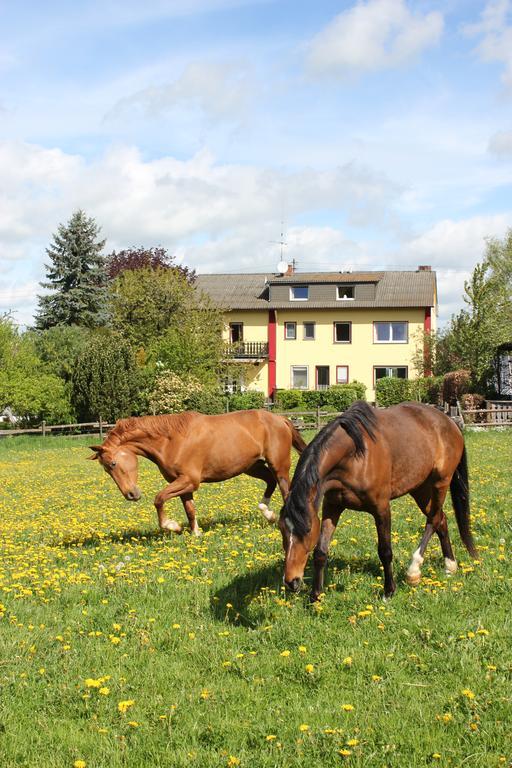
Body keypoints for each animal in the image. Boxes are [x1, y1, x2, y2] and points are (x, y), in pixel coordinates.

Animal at [88, 408, 306, 536]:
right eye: (106, 470)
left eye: (113, 464)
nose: (131, 495)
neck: (171, 440)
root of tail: (281, 419)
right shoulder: (182, 484)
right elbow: (190, 510)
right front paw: (196, 534)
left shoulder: (190, 480)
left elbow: (159, 499)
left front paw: (172, 526)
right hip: (252, 466)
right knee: (270, 481)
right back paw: (267, 513)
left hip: (279, 466)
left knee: (284, 489)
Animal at [280, 400, 476, 604]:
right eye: (281, 529)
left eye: (307, 530)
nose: (291, 581)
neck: (355, 455)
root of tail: (449, 421)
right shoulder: (332, 507)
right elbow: (320, 551)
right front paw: (315, 596)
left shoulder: (381, 508)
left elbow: (385, 551)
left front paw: (389, 591)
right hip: (420, 489)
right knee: (441, 520)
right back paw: (450, 565)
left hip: (440, 482)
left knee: (434, 520)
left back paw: (414, 570)